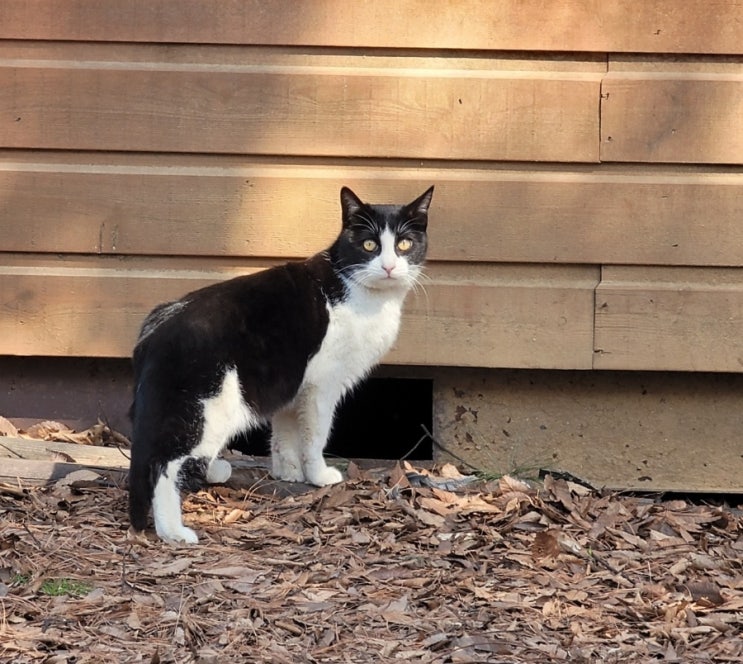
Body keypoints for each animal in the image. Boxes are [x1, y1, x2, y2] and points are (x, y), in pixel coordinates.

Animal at [125, 184, 434, 544]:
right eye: (369, 245)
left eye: (404, 244)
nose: (388, 267)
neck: (360, 293)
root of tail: (157, 326)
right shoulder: (322, 387)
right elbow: (316, 435)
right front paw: (318, 474)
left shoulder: (292, 384)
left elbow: (284, 433)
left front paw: (288, 472)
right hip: (207, 408)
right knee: (165, 464)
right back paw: (173, 531)